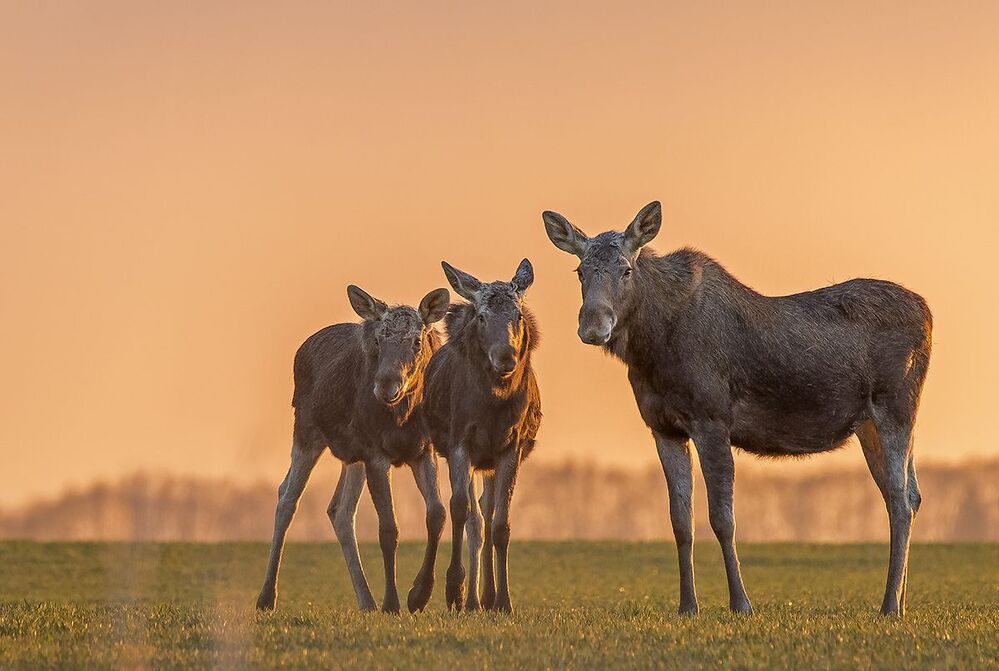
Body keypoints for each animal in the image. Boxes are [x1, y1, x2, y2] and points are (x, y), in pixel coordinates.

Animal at [256, 284, 450, 614]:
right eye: (378, 340)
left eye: (416, 341)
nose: (386, 385)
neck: (403, 416)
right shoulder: (375, 454)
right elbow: (389, 528)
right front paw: (392, 603)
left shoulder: (424, 450)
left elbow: (437, 513)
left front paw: (419, 595)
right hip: (306, 431)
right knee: (287, 497)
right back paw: (267, 597)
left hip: (351, 456)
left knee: (339, 510)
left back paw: (367, 601)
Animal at [422, 259, 542, 613]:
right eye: (482, 316)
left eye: (518, 316)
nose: (505, 356)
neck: (493, 407)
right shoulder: (461, 442)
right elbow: (461, 509)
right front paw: (455, 589)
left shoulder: (510, 447)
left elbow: (501, 524)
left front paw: (504, 600)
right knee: (475, 518)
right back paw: (472, 599)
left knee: (486, 514)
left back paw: (487, 597)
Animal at [543, 201, 932, 616]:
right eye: (580, 271)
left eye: (626, 269)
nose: (593, 325)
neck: (652, 351)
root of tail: (929, 315)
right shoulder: (662, 427)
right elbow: (680, 520)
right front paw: (687, 605)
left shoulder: (712, 418)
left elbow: (722, 518)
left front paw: (741, 603)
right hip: (870, 424)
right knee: (908, 495)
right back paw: (900, 599)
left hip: (895, 406)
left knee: (900, 500)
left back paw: (889, 605)